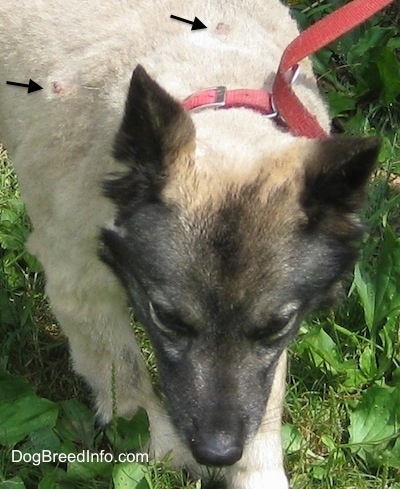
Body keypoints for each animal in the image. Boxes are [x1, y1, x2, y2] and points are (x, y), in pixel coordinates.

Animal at [0, 1, 382, 486]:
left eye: (275, 328)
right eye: (167, 318)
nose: (217, 453)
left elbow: (264, 401)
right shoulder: (80, 287)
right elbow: (123, 374)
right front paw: (164, 451)